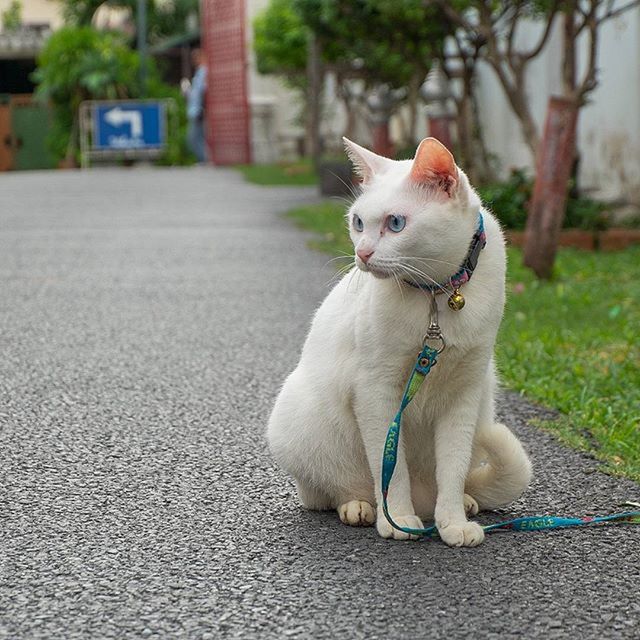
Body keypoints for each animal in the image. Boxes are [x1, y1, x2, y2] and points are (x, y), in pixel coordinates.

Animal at [268, 135, 532, 544]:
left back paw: (461, 504)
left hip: (483, 403)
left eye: (395, 223)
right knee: (327, 492)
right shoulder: (376, 391)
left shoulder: (464, 393)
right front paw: (398, 521)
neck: (438, 296)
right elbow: (390, 467)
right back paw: (361, 507)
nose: (362, 253)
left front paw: (453, 522)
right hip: (298, 421)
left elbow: (453, 468)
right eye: (358, 222)